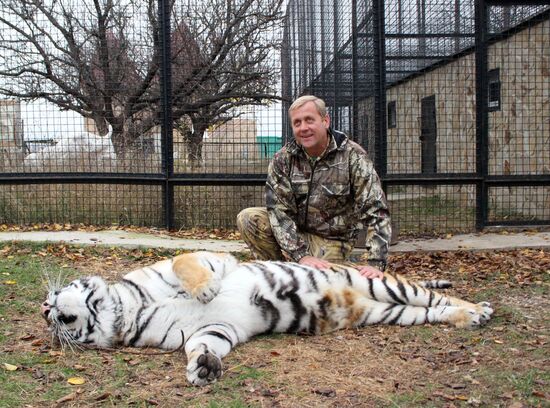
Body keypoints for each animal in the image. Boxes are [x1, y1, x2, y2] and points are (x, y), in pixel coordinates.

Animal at [41, 250, 494, 388]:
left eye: (50, 296)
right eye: (47, 315)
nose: (46, 311)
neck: (123, 312)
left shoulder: (207, 259)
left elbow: (186, 263)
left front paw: (205, 290)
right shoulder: (210, 330)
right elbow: (202, 345)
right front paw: (202, 367)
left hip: (384, 286)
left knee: (433, 294)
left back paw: (479, 310)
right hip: (388, 311)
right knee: (430, 310)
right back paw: (466, 318)